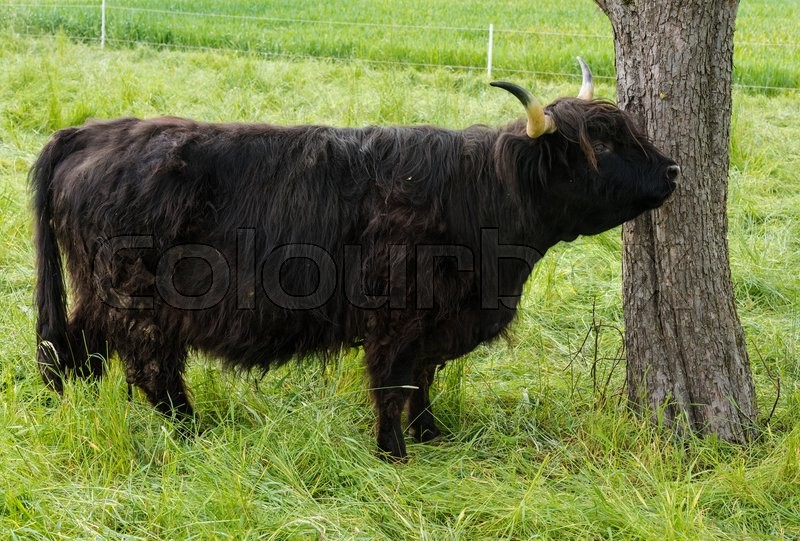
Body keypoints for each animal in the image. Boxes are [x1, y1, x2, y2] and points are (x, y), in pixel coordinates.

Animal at [31, 58, 679, 460]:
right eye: (606, 146)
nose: (673, 169)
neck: (481, 197)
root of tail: (91, 132)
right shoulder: (396, 318)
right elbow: (393, 383)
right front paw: (394, 454)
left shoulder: (438, 324)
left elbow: (422, 380)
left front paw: (432, 436)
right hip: (137, 297)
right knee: (145, 363)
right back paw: (188, 429)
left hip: (104, 294)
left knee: (75, 345)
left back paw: (70, 405)